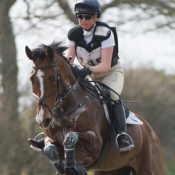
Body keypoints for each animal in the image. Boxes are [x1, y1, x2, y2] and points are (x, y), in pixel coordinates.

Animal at [25, 41, 163, 175]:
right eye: (31, 79)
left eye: (53, 78)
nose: (42, 120)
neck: (65, 112)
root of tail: (150, 131)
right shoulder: (51, 139)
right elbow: (50, 148)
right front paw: (62, 168)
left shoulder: (95, 144)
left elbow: (70, 137)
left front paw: (72, 168)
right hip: (110, 170)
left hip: (149, 167)